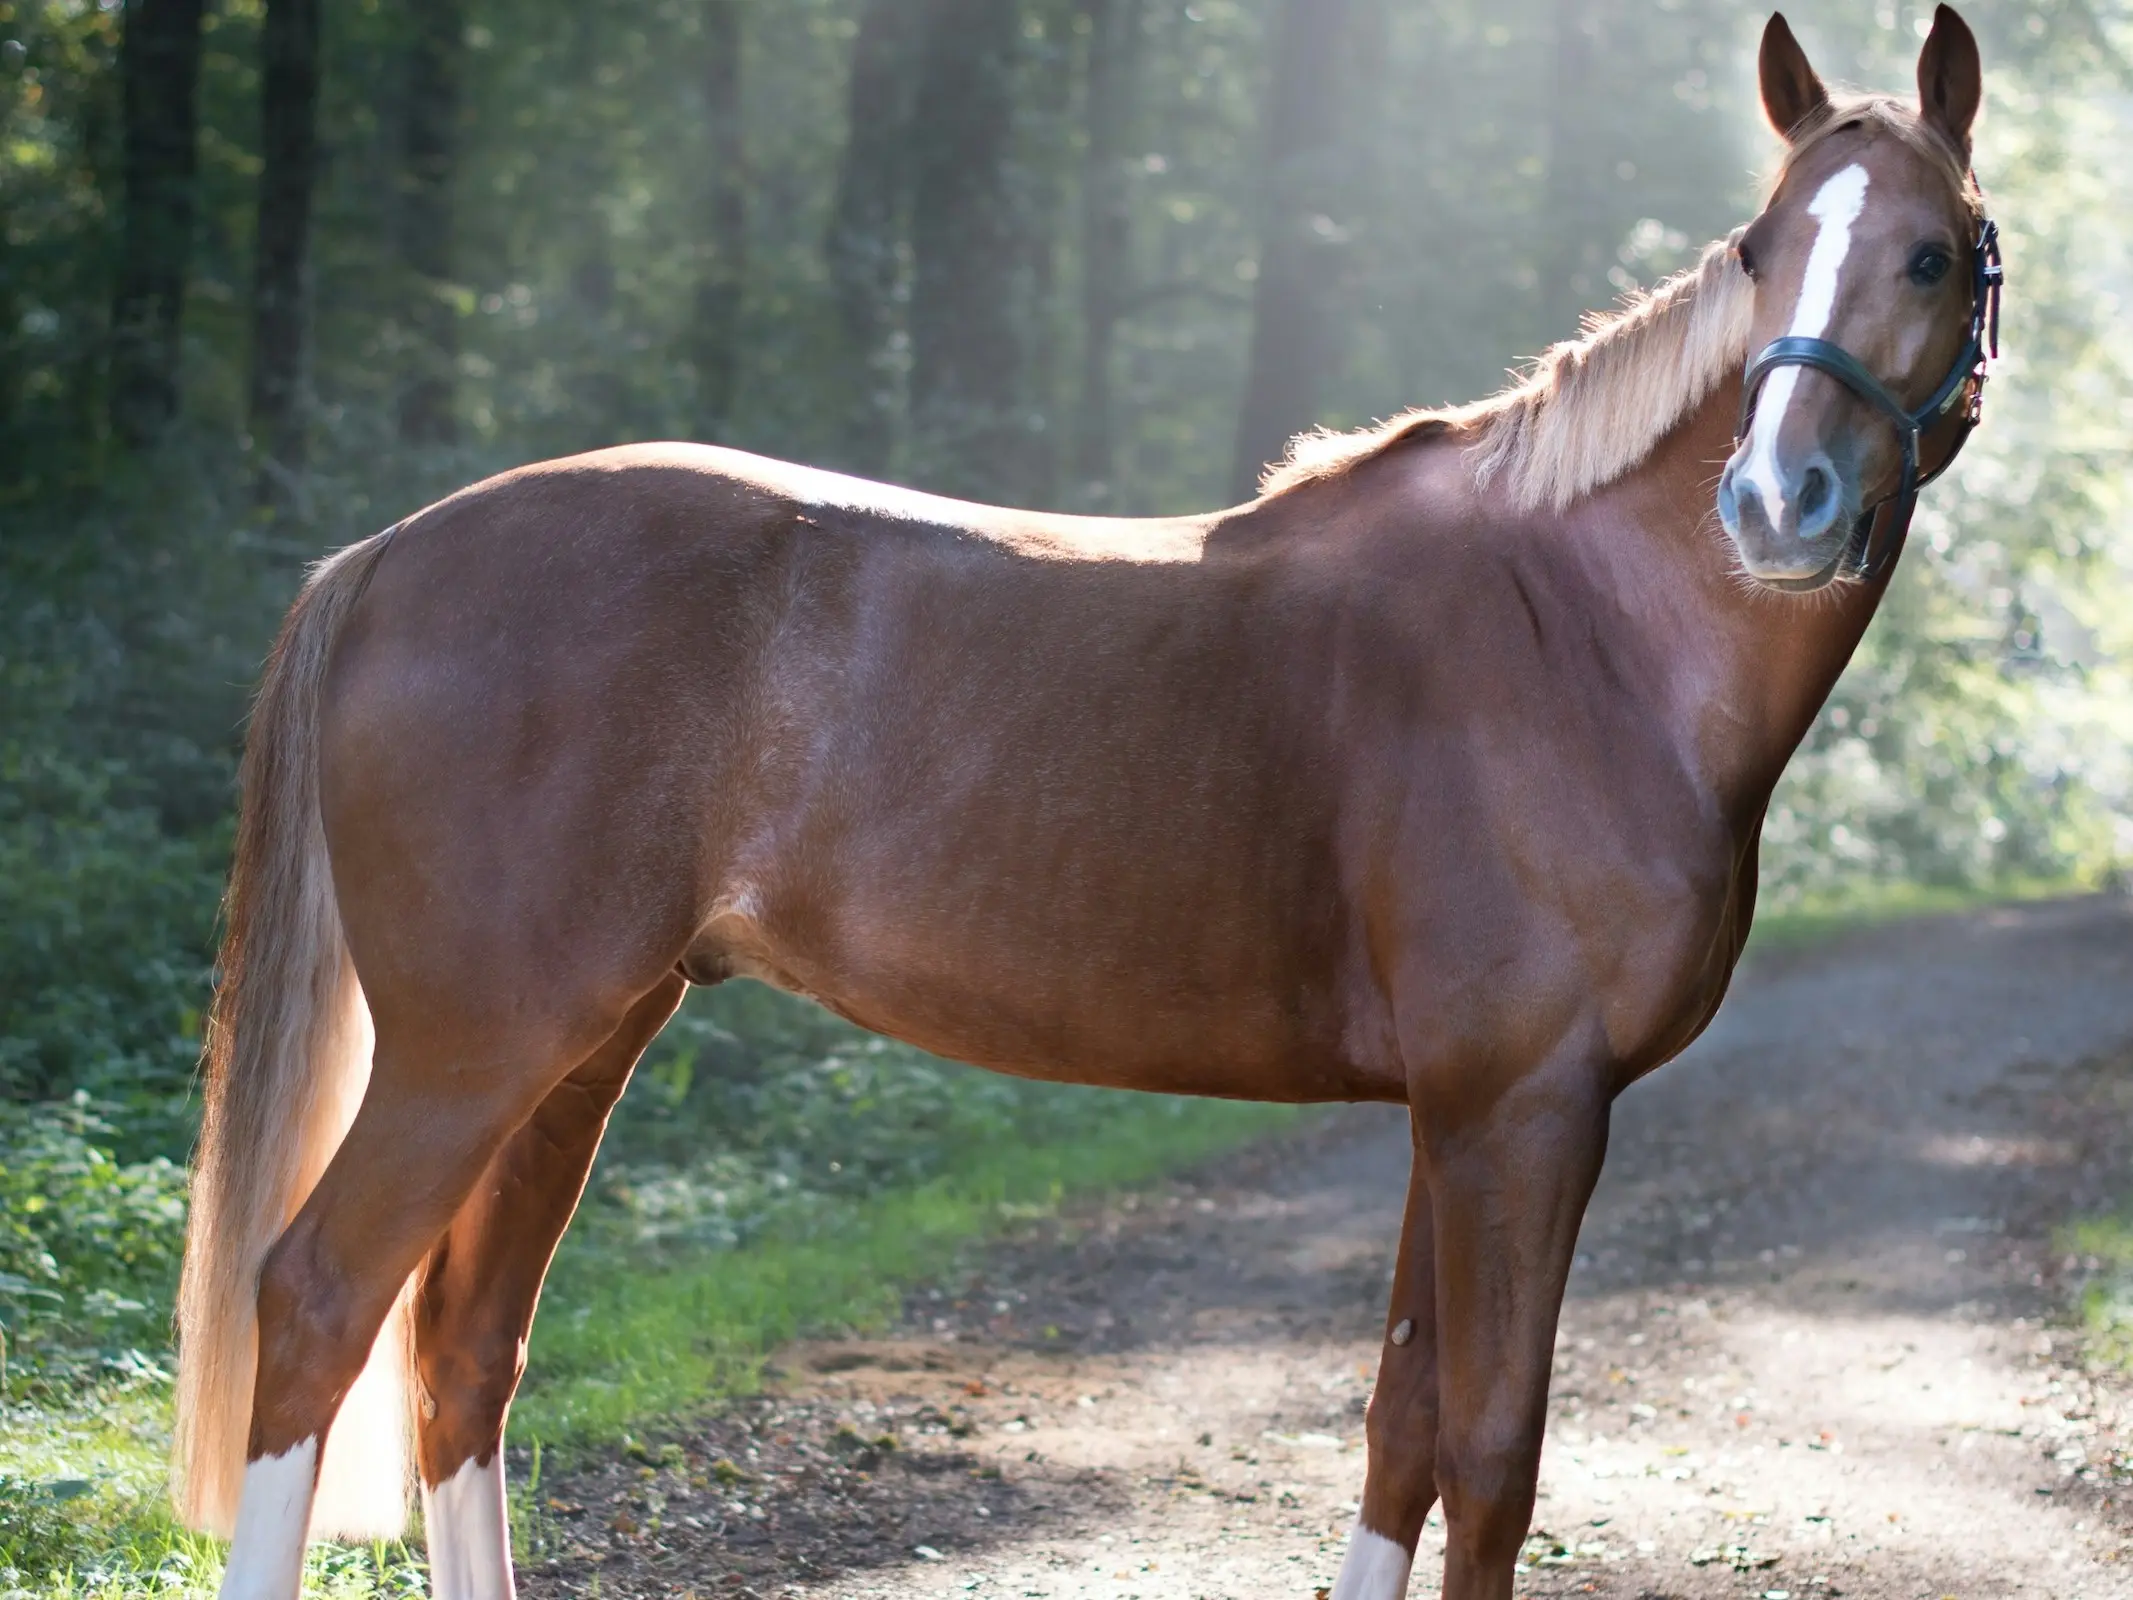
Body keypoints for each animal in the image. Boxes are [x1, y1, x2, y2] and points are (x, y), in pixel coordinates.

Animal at [183, 12, 1996, 1600]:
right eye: (1760, 248)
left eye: (1929, 256)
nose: (1773, 505)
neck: (1586, 631)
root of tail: (387, 555)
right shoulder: (1528, 1109)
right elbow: (1490, 1461)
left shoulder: (1456, 1111)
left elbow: (1400, 1428)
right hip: (470, 1053)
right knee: (321, 1299)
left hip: (582, 1043)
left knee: (466, 1349)